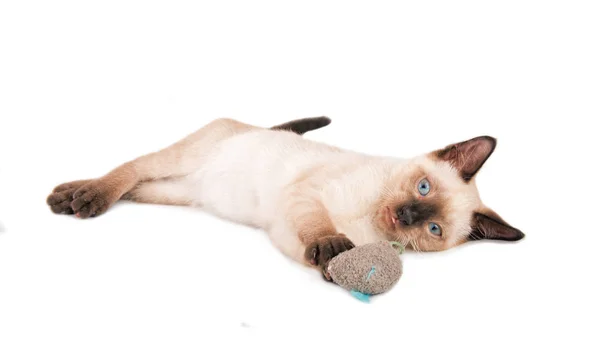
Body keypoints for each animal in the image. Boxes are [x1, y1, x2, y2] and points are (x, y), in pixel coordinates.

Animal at [48, 118, 524, 278]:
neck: (366, 216)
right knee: (131, 168)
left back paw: (73, 197)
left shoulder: (282, 227)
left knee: (136, 186)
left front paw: (338, 267)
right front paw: (332, 248)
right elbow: (319, 229)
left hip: (176, 192)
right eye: (423, 187)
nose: (405, 213)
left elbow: (318, 252)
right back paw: (79, 198)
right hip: (181, 159)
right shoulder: (305, 196)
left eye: (433, 228)